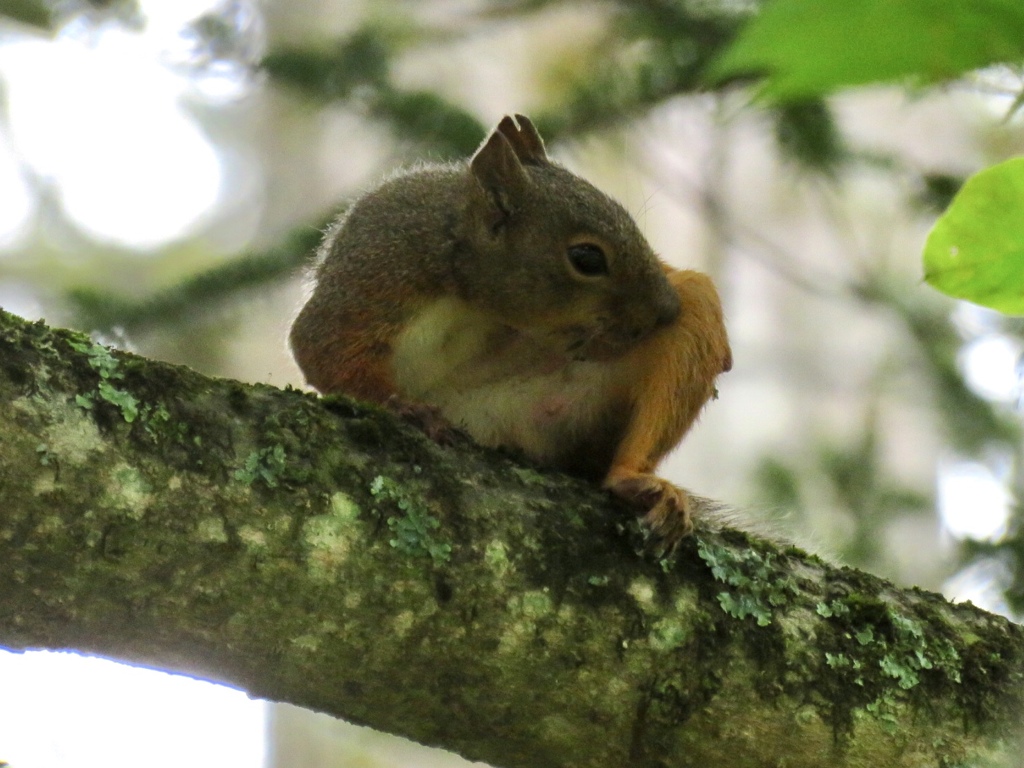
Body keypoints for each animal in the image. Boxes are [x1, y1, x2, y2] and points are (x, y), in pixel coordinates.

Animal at [292, 114, 733, 548]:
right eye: (587, 258)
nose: (668, 310)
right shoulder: (379, 269)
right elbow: (324, 349)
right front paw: (405, 407)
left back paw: (636, 484)